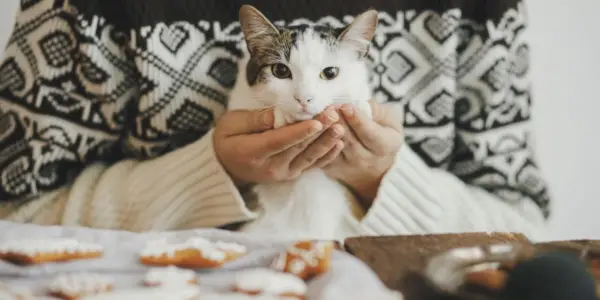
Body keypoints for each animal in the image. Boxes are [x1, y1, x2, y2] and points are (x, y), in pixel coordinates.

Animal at [227, 4, 378, 239]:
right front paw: (282, 113)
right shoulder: (239, 98)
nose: (304, 98)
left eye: (330, 72)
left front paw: (358, 105)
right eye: (280, 71)